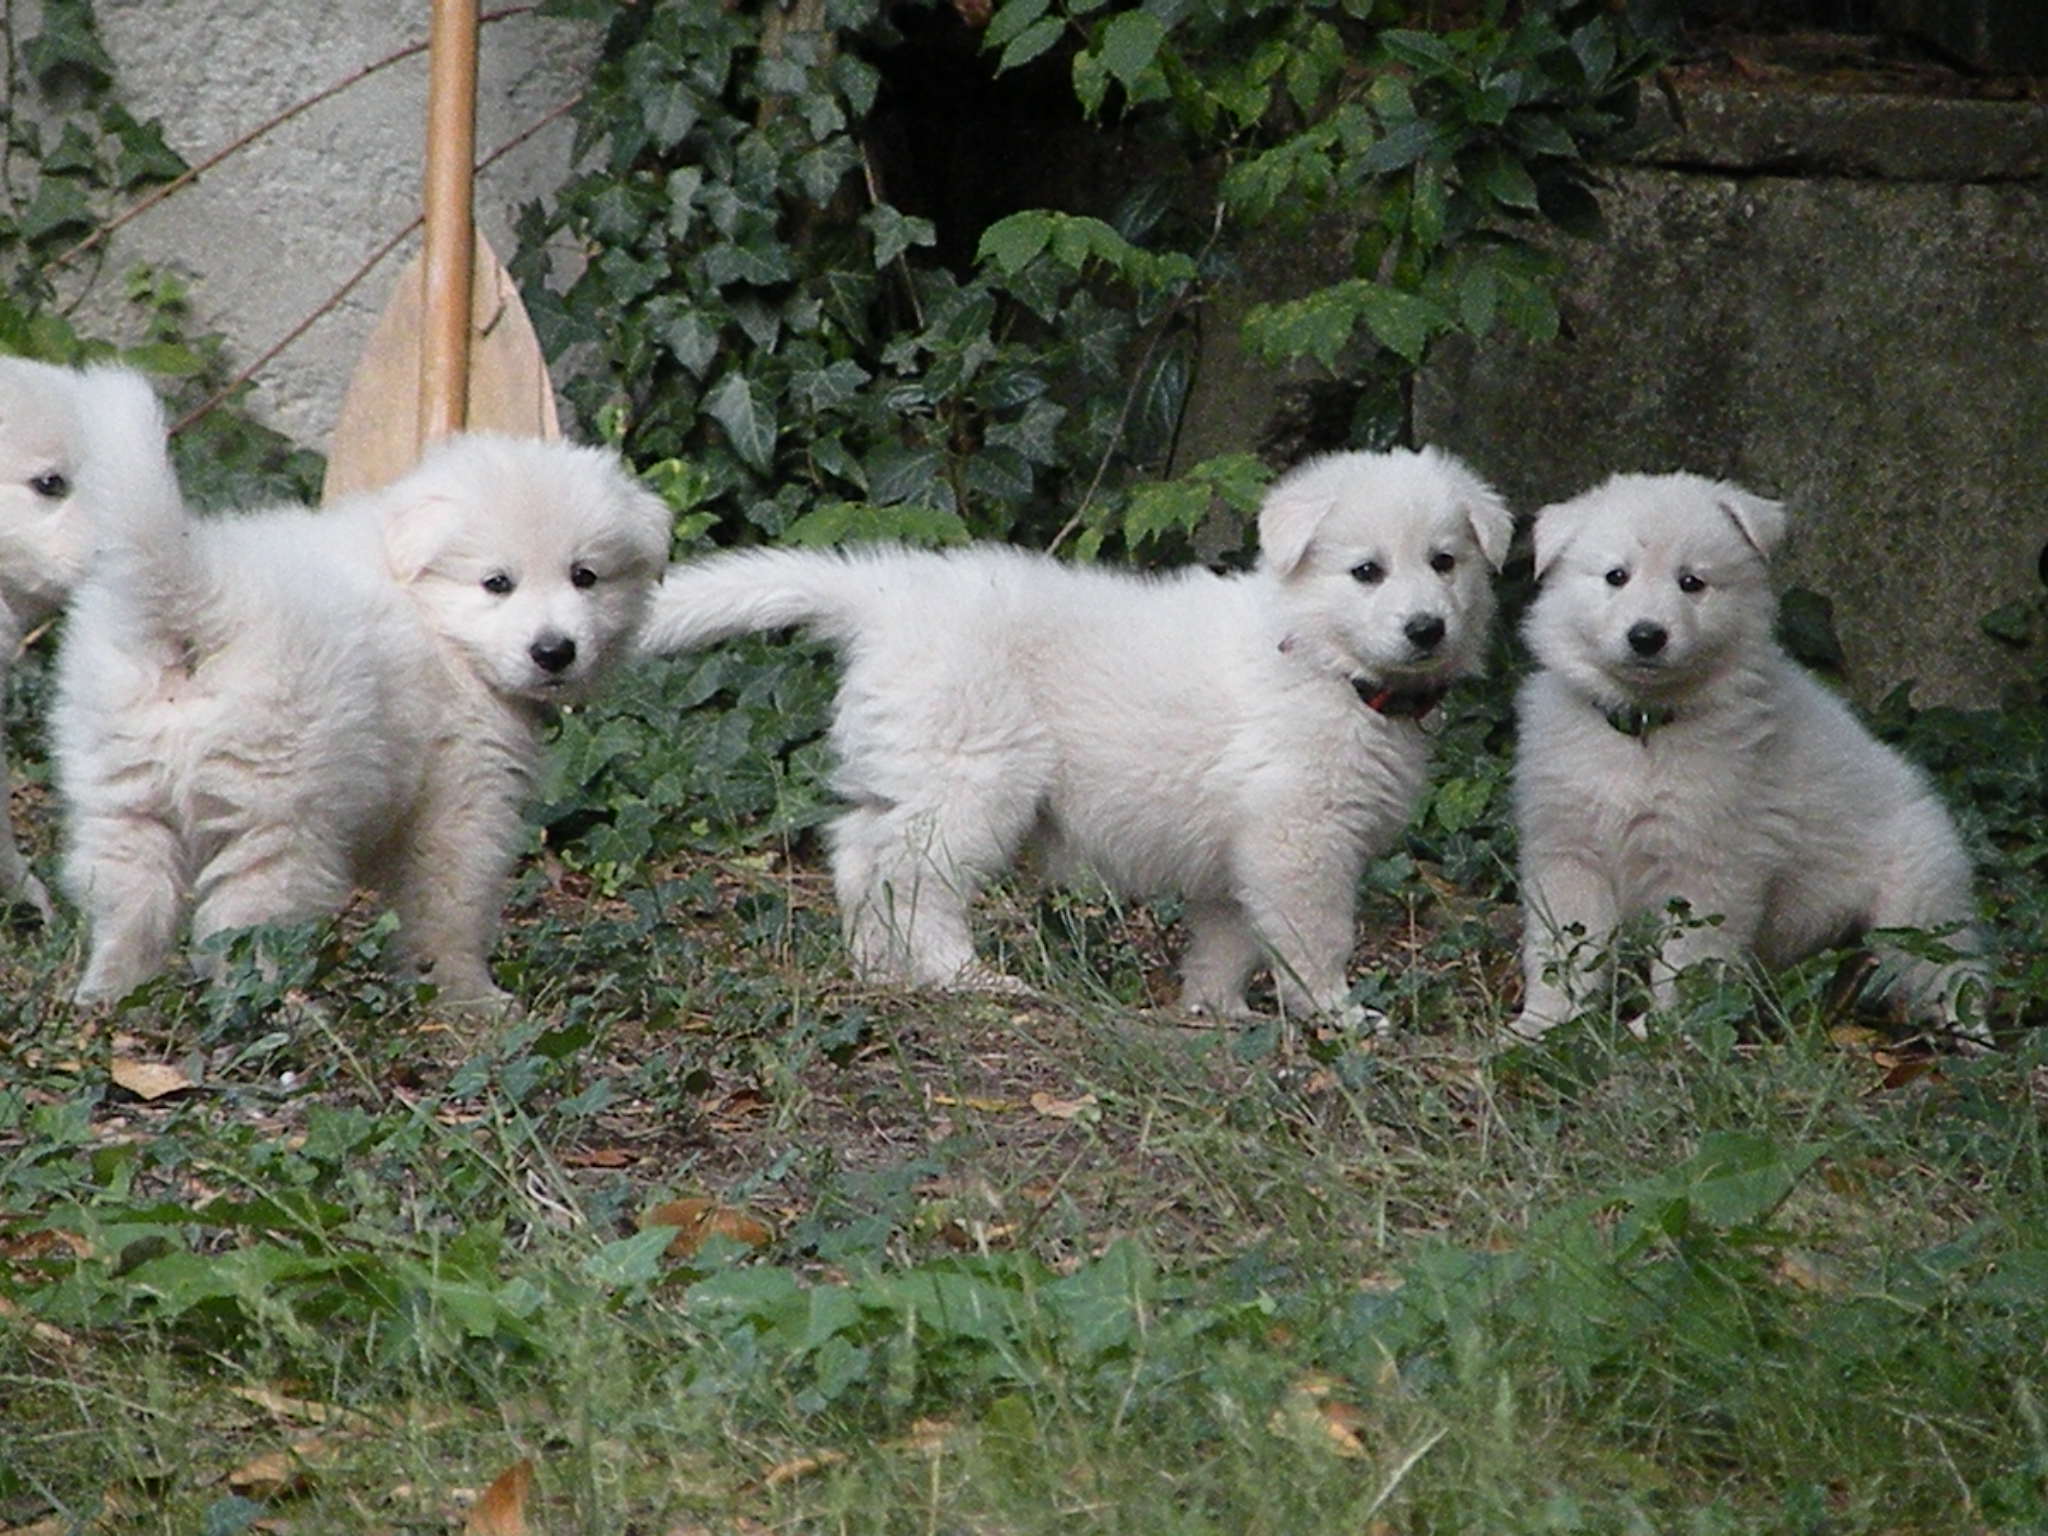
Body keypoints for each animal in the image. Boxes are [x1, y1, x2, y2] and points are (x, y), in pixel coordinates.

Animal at [51, 372, 667, 1011]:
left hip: (123, 791)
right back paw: (283, 1008)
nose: (554, 651)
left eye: (585, 576)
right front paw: (469, 995)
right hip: (282, 812)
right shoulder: (463, 791)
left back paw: (109, 994)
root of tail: (202, 603)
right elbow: (450, 904)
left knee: (130, 903)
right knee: (245, 923)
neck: (434, 621)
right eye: (497, 583)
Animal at [638, 450, 1523, 1028]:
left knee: (861, 857)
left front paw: (1218, 1008)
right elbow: (1315, 934)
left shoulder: (1239, 847)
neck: (1321, 657)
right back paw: (965, 976)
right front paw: (1337, 1014)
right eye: (1366, 571)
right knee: (918, 882)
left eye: (1445, 562)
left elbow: (1228, 936)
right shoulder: (1297, 834)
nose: (1426, 628)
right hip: (975, 776)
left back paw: (875, 968)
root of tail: (884, 595)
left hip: (908, 762)